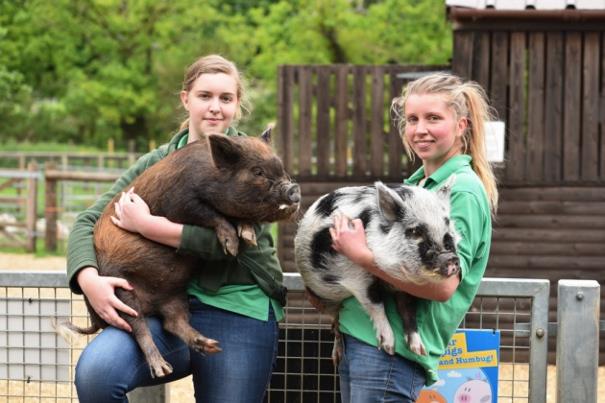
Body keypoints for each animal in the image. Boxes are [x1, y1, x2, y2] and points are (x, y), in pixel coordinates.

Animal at [63, 129, 300, 378]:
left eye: (281, 167)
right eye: (257, 171)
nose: (293, 189)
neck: (210, 176)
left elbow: (237, 217)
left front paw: (248, 236)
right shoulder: (183, 202)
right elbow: (213, 216)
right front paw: (232, 246)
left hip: (174, 294)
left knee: (173, 323)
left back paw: (211, 346)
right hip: (120, 292)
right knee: (139, 328)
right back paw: (163, 369)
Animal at [292, 179, 458, 356]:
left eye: (448, 234)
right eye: (415, 231)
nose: (451, 258)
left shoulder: (405, 287)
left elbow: (408, 310)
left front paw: (419, 350)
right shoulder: (355, 273)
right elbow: (375, 302)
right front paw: (389, 347)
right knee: (336, 321)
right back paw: (338, 356)